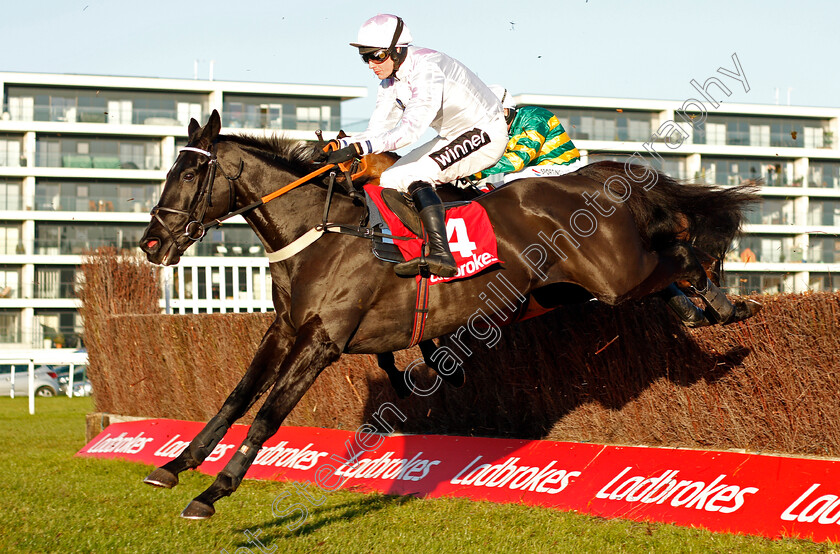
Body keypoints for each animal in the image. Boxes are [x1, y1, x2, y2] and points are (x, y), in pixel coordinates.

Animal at [139, 112, 760, 516]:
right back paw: (701, 308)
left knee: (682, 246)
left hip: (614, 276)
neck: (325, 233)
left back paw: (726, 300)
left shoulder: (324, 340)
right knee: (667, 266)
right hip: (568, 287)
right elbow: (237, 396)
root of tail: (593, 177)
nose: (151, 243)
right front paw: (177, 464)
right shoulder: (286, 328)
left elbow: (269, 413)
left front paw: (214, 491)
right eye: (168, 172)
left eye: (189, 175)